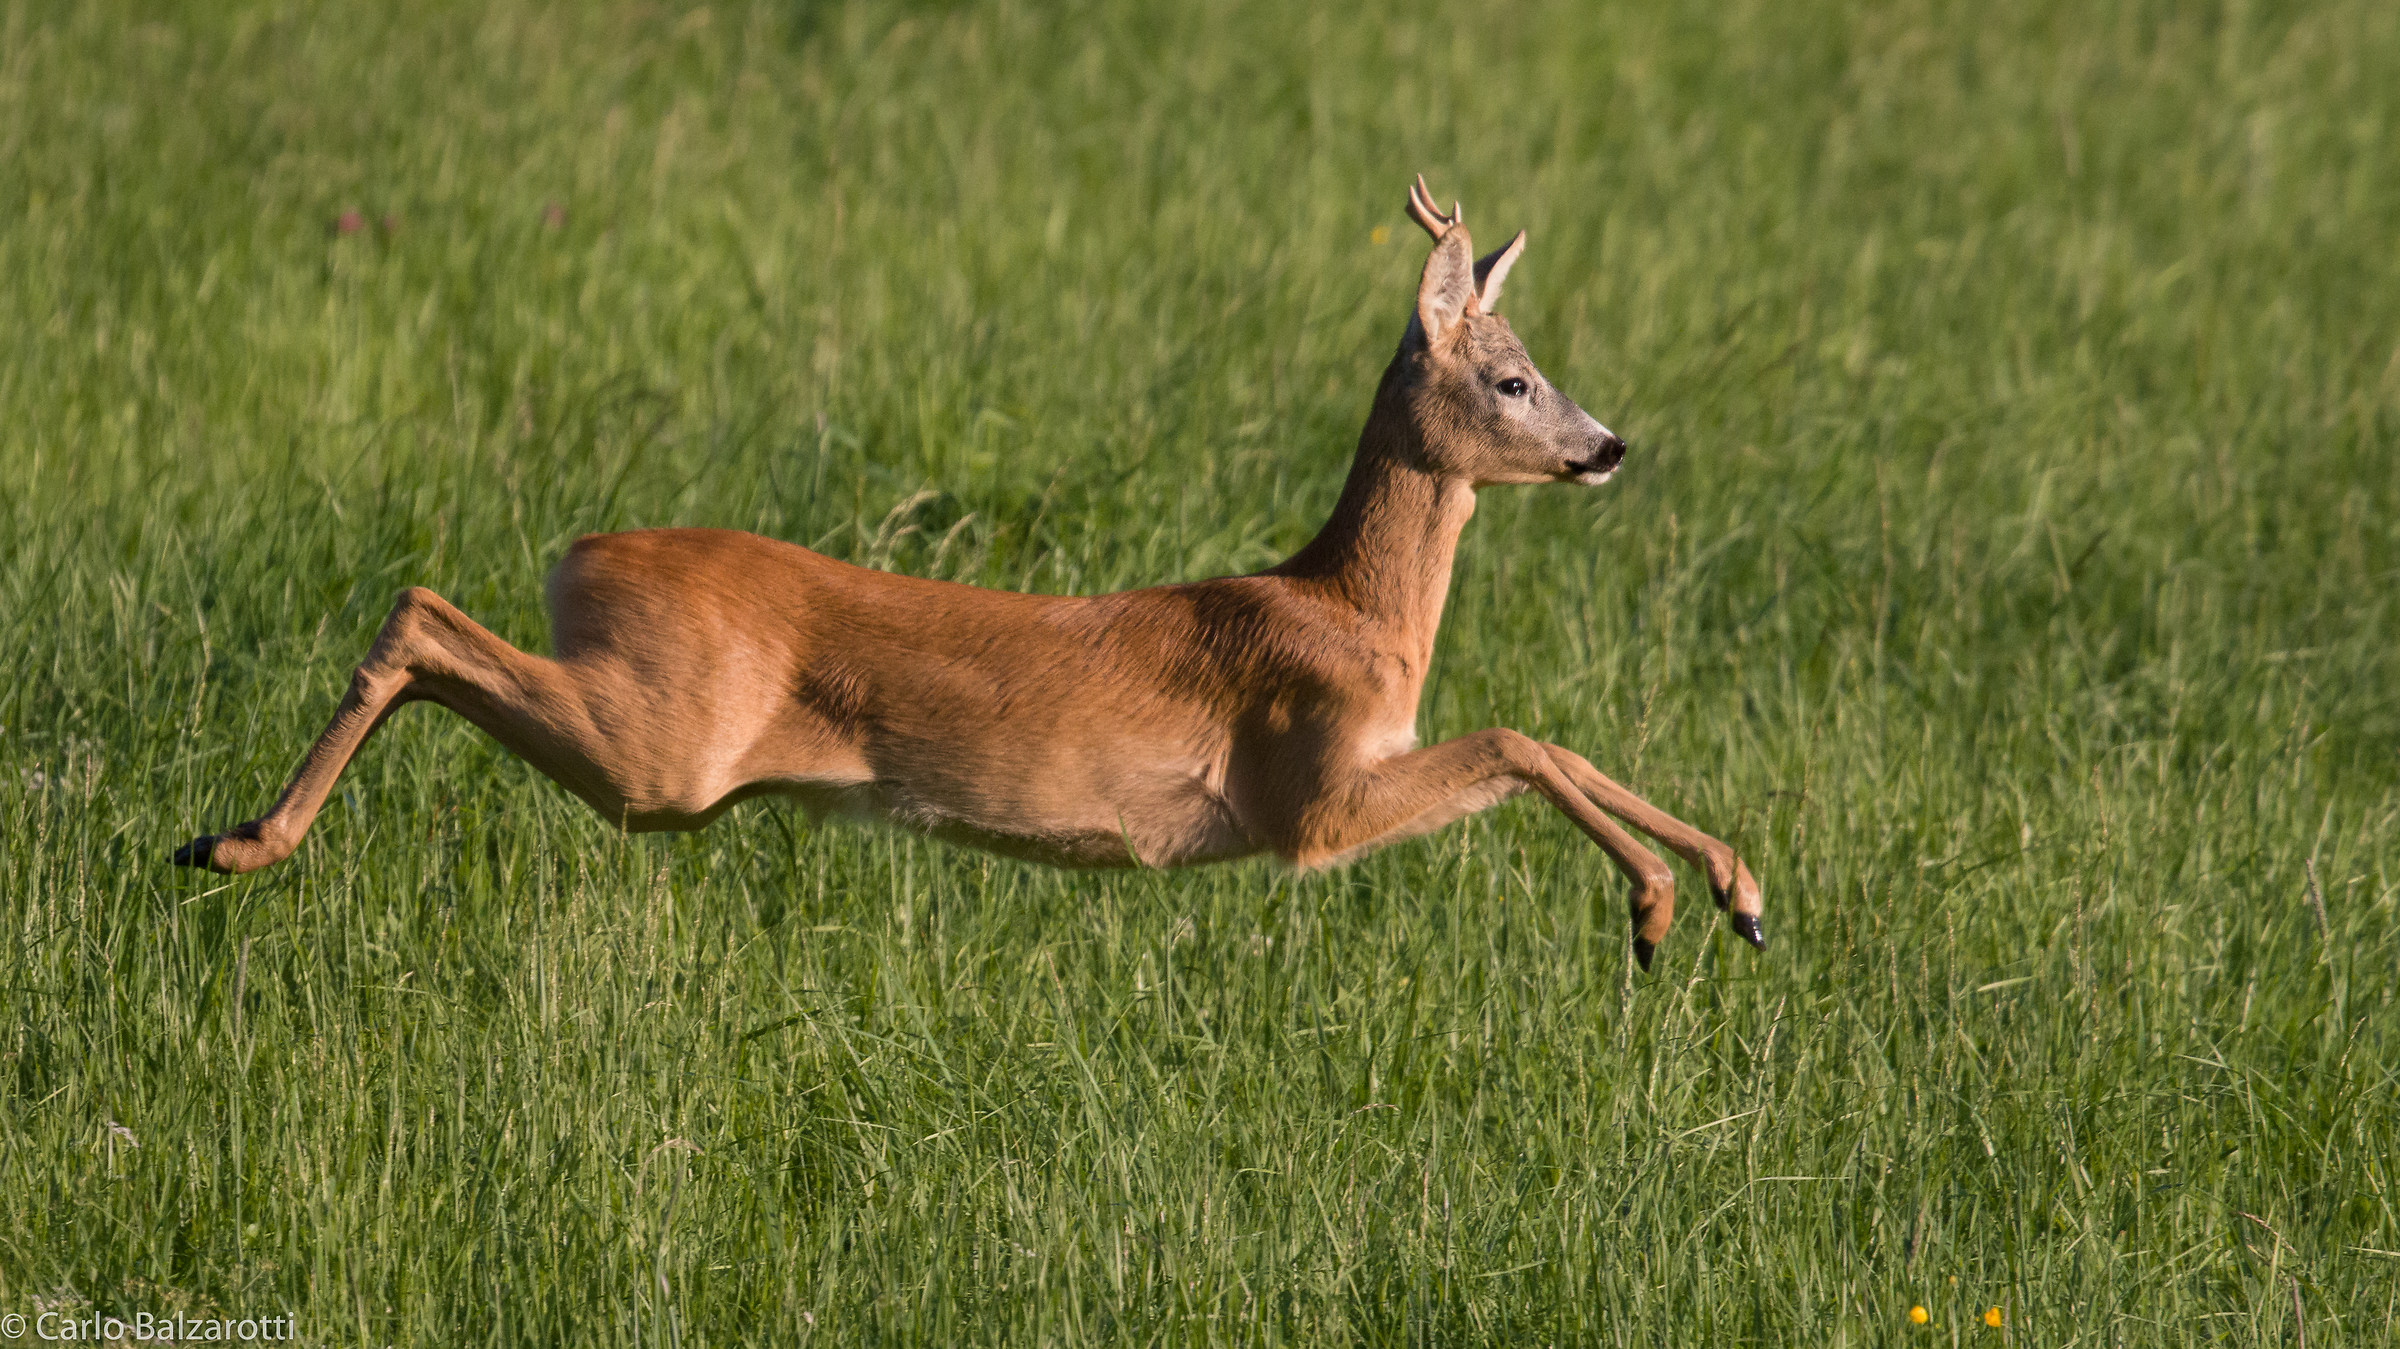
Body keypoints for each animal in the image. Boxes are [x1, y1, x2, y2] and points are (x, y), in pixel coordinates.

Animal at [174, 176, 1766, 967]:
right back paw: (236, 842)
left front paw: (1736, 892)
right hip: (662, 749)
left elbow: (1537, 741)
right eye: (1510, 376)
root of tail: (586, 551)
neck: (1347, 610)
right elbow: (1518, 737)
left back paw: (226, 836)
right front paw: (1666, 908)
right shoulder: (1306, 798)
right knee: (422, 611)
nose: (1608, 445)